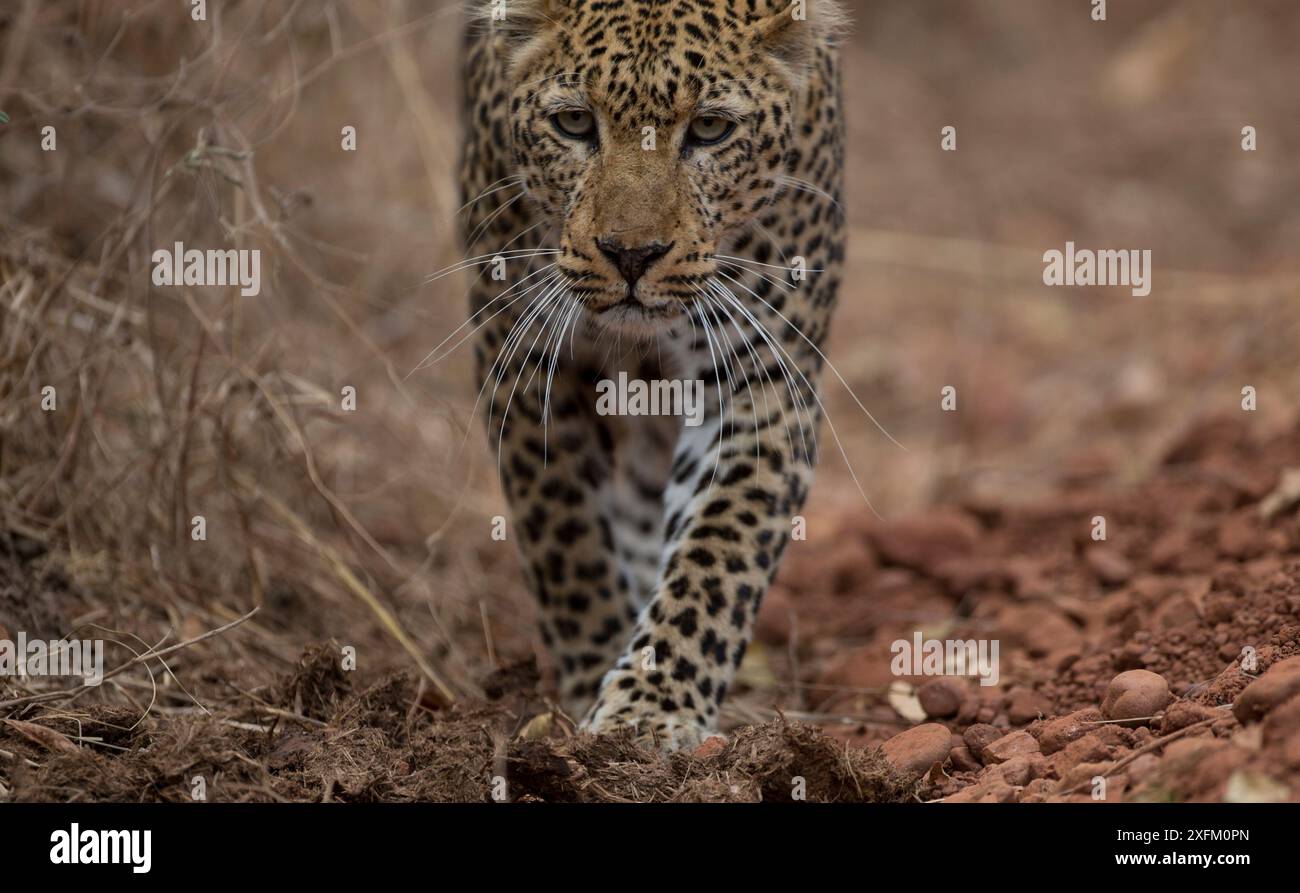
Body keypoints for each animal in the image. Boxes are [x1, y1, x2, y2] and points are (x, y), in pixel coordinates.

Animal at [455, 0, 847, 749]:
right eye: (574, 123)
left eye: (712, 129)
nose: (631, 255)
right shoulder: (521, 358)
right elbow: (567, 535)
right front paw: (592, 678)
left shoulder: (761, 380)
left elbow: (716, 553)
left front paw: (649, 707)